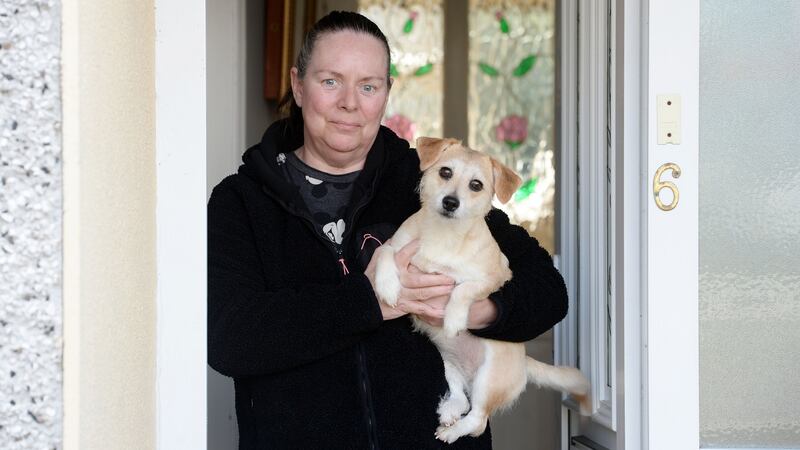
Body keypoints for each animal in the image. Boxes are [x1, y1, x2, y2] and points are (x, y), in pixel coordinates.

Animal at [374, 136, 588, 442]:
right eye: (445, 172)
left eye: (476, 185)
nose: (450, 202)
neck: (444, 236)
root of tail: (524, 363)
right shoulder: (396, 246)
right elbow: (383, 253)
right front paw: (388, 286)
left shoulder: (493, 278)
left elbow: (463, 290)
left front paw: (453, 319)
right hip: (449, 363)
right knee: (462, 398)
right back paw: (450, 410)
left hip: (488, 380)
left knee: (477, 420)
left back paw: (453, 432)